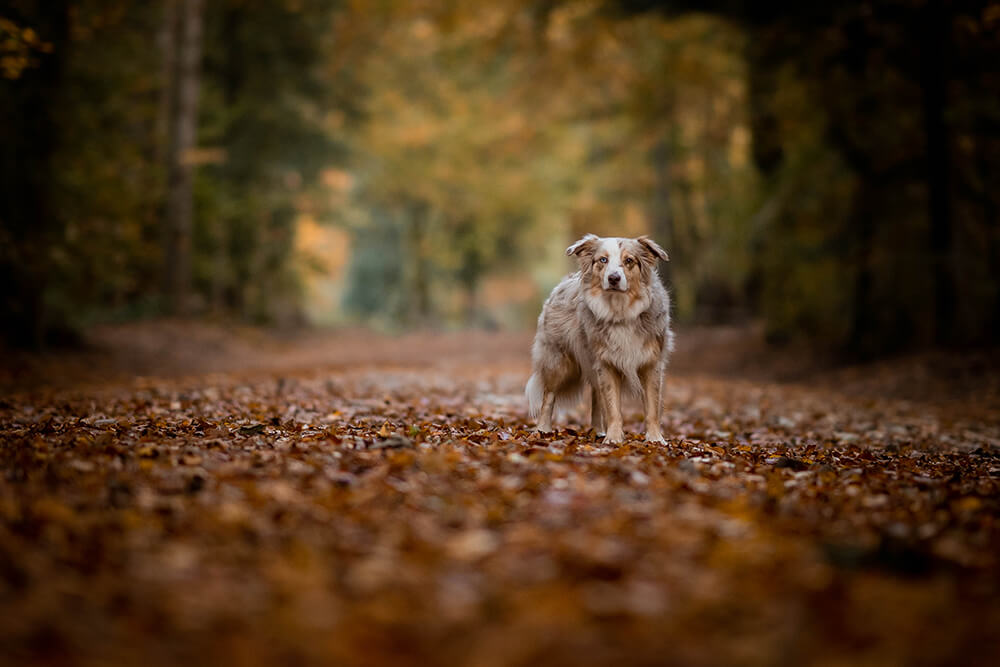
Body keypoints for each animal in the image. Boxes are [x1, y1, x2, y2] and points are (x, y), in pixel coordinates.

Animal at [524, 235, 672, 444]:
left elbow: (652, 405)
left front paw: (655, 439)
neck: (620, 311)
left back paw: (598, 430)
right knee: (549, 395)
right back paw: (542, 430)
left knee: (596, 397)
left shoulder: (651, 363)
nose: (613, 278)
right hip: (559, 362)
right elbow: (613, 406)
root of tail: (563, 282)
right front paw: (613, 438)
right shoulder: (607, 362)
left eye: (629, 260)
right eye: (603, 260)